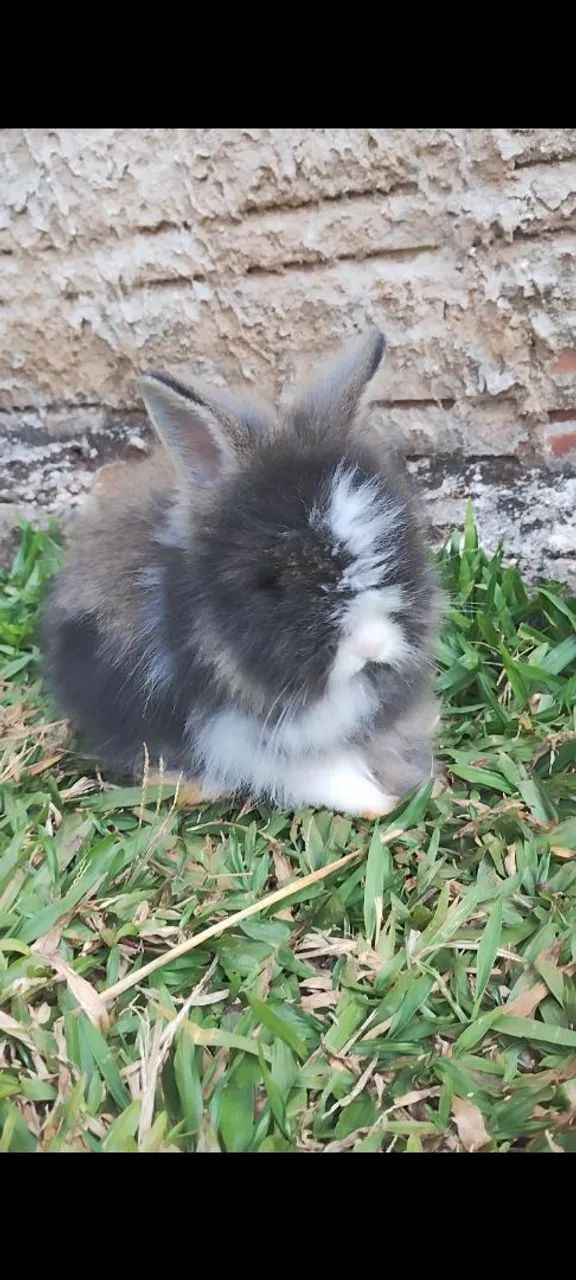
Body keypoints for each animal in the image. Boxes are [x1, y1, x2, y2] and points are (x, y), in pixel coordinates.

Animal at [43, 329, 442, 817]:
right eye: (275, 583)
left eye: (394, 548)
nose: (371, 646)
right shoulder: (229, 730)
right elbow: (304, 771)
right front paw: (374, 800)